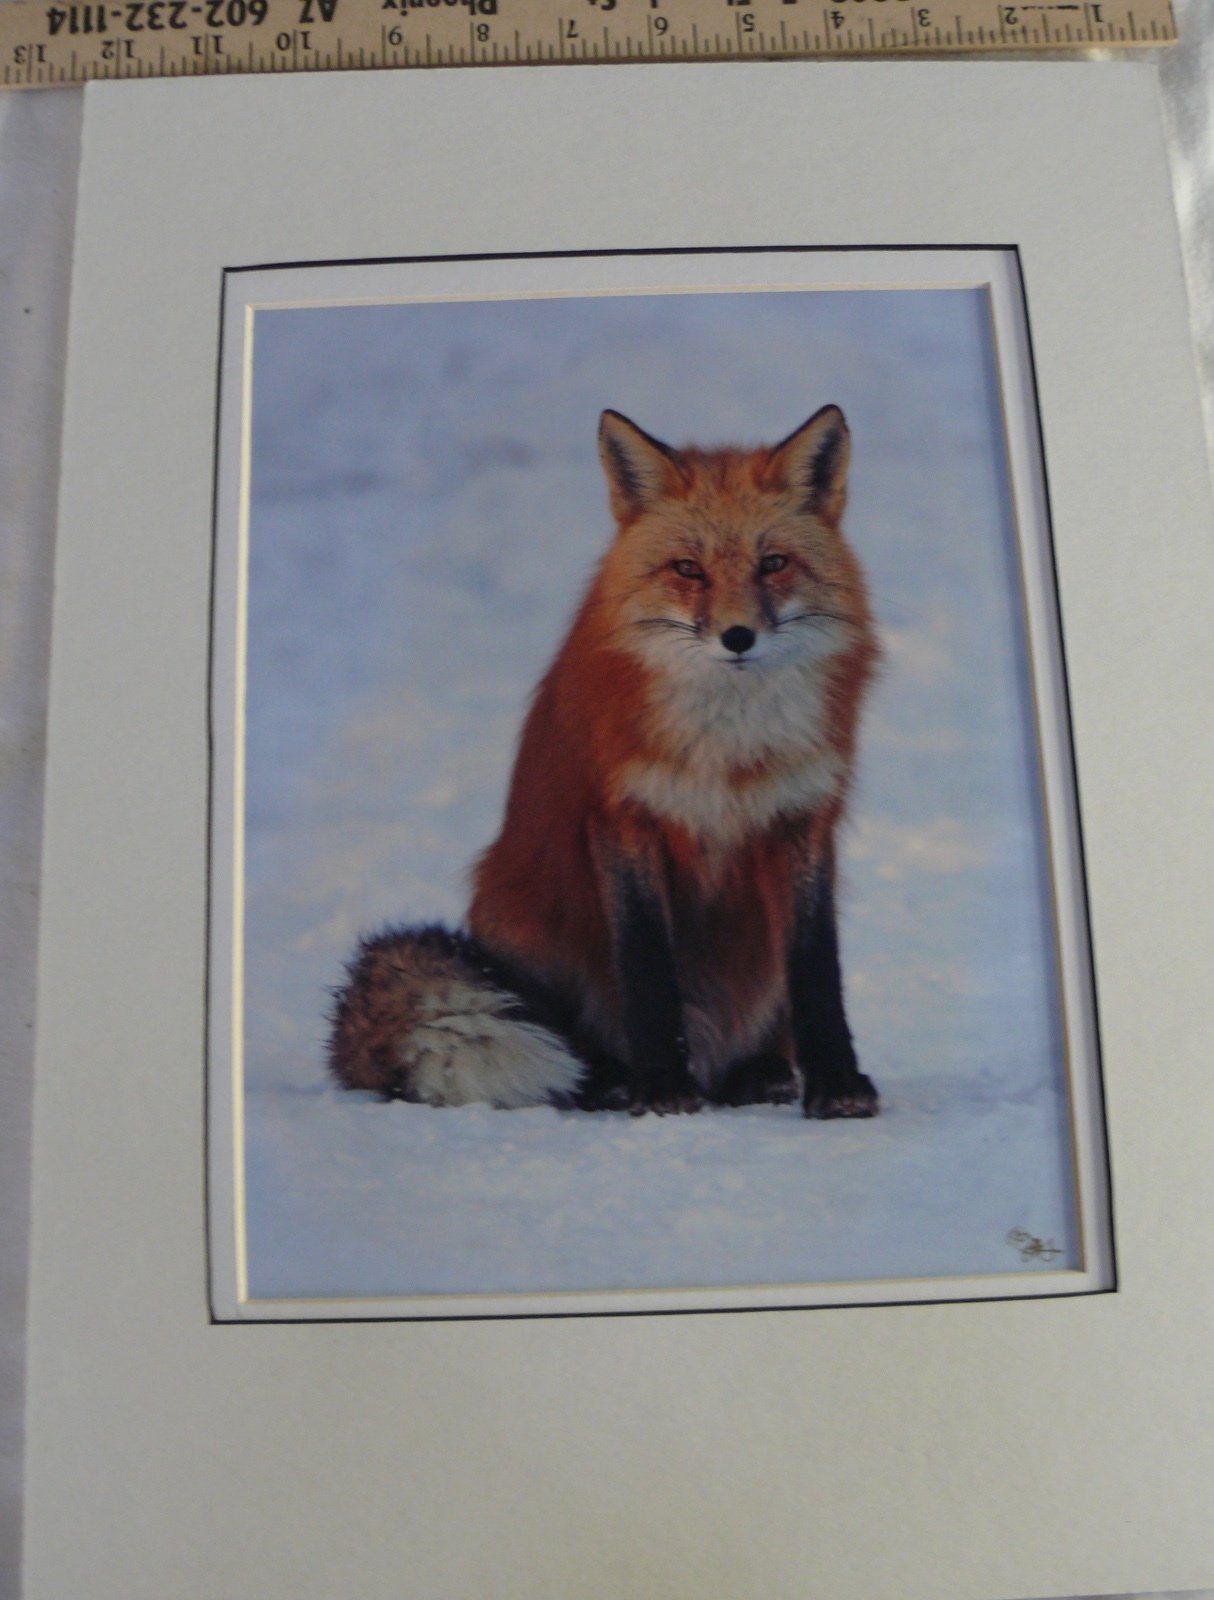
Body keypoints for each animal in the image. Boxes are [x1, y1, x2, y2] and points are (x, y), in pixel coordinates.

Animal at [329, 404, 880, 1118]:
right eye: (688, 568)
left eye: (774, 564)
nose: (738, 637)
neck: (728, 749)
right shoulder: (622, 818)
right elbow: (647, 971)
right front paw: (662, 1087)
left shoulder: (802, 820)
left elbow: (818, 971)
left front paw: (838, 1083)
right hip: (523, 923)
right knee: (571, 1042)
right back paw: (613, 1081)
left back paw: (756, 1073)